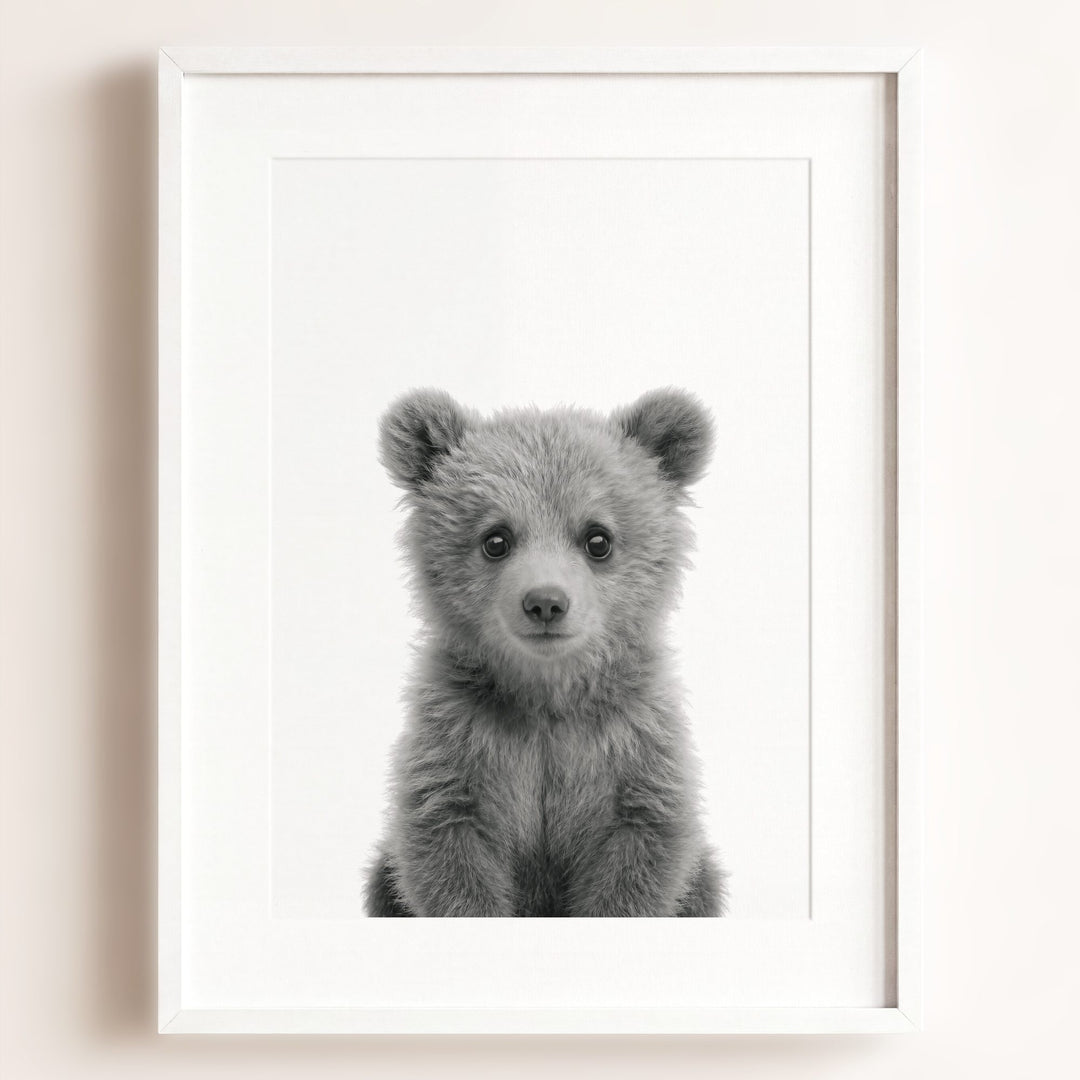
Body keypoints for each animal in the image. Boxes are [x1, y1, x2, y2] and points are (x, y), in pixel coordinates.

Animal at [364, 387, 726, 917]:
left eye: (598, 538)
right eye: (496, 539)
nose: (546, 602)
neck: (546, 696)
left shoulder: (633, 746)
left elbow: (640, 855)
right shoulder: (458, 742)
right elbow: (448, 852)